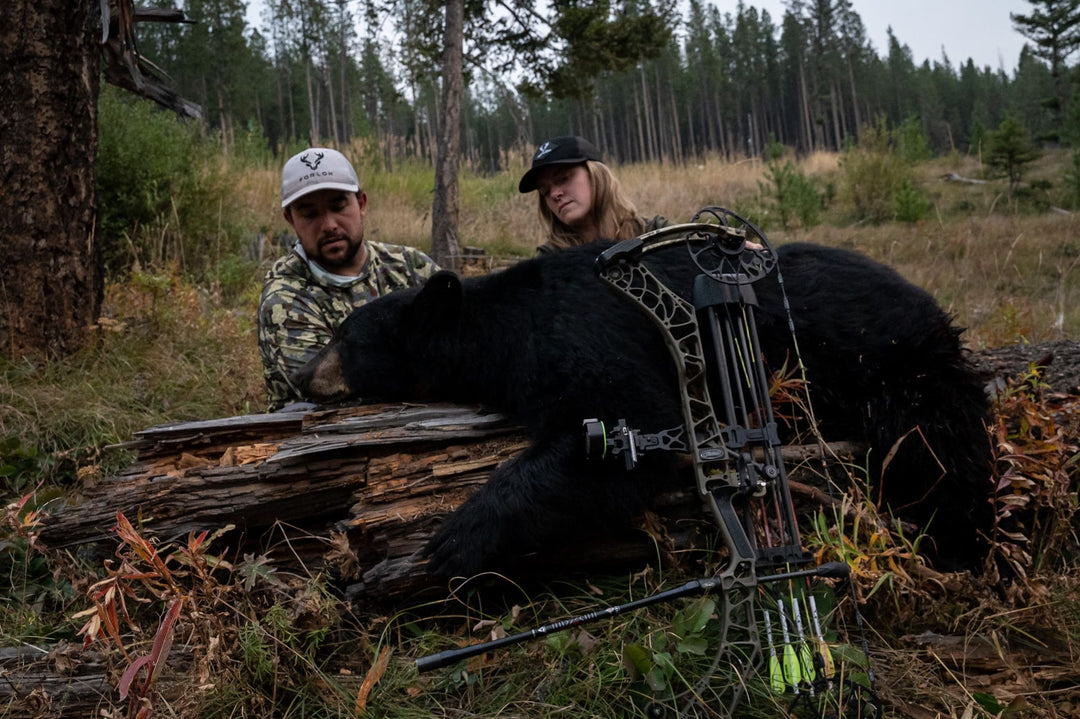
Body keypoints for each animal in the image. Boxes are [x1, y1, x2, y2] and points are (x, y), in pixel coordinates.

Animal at [292, 240, 995, 580]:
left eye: (344, 338)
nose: (300, 374)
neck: (504, 326)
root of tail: (930, 303)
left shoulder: (587, 333)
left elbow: (625, 425)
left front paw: (456, 537)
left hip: (889, 361)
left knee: (937, 446)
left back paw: (961, 543)